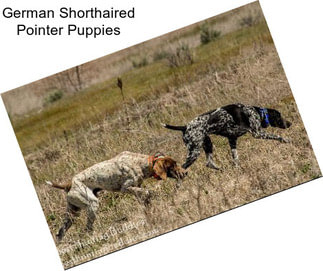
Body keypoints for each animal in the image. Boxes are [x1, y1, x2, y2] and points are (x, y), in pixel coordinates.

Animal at [46, 151, 186, 242]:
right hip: (92, 205)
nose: (185, 172)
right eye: (173, 165)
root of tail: (69, 184)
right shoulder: (126, 188)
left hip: (73, 214)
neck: (140, 163)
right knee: (88, 229)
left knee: (60, 233)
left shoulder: (137, 189)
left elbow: (145, 200)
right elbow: (147, 192)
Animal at [163, 104, 292, 170]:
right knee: (182, 169)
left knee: (209, 163)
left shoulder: (232, 140)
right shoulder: (257, 133)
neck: (257, 112)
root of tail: (185, 127)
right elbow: (278, 136)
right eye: (280, 116)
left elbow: (236, 159)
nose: (290, 123)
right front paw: (287, 140)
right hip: (194, 152)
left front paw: (239, 170)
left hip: (207, 144)